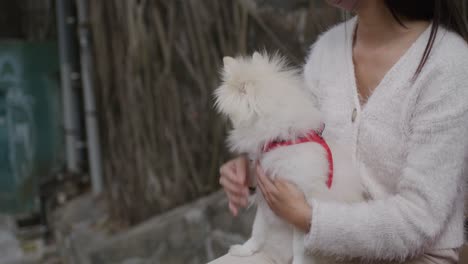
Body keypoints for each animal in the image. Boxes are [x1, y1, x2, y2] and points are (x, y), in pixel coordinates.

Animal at [214, 52, 364, 264]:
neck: (281, 139)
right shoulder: (264, 200)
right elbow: (257, 231)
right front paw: (245, 250)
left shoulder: (299, 207)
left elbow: (299, 249)